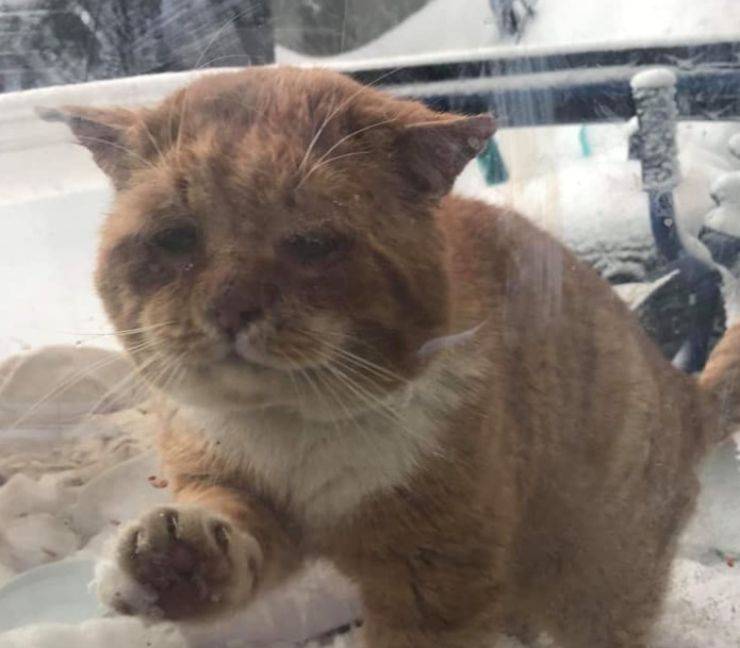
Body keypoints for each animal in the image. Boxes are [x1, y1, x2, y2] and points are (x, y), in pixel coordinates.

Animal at [44, 68, 740, 644]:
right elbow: (225, 526)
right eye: (175, 238)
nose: (229, 308)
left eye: (312, 244)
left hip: (595, 590)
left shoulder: (434, 582)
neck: (294, 435)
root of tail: (685, 392)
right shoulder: (234, 488)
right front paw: (172, 563)